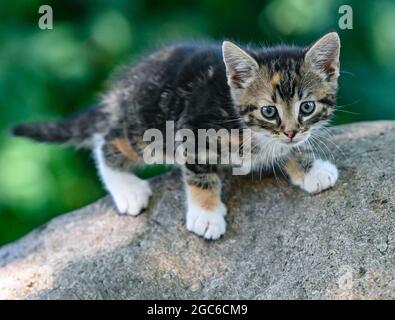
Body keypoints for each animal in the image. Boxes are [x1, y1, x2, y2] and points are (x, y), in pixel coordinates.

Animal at [12, 31, 340, 240]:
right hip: (147, 131)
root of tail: (122, 90)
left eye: (307, 107)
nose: (290, 131)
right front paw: (206, 214)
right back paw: (127, 189)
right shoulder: (193, 133)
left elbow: (295, 147)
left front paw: (310, 169)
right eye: (269, 111)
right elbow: (200, 176)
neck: (248, 127)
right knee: (106, 141)